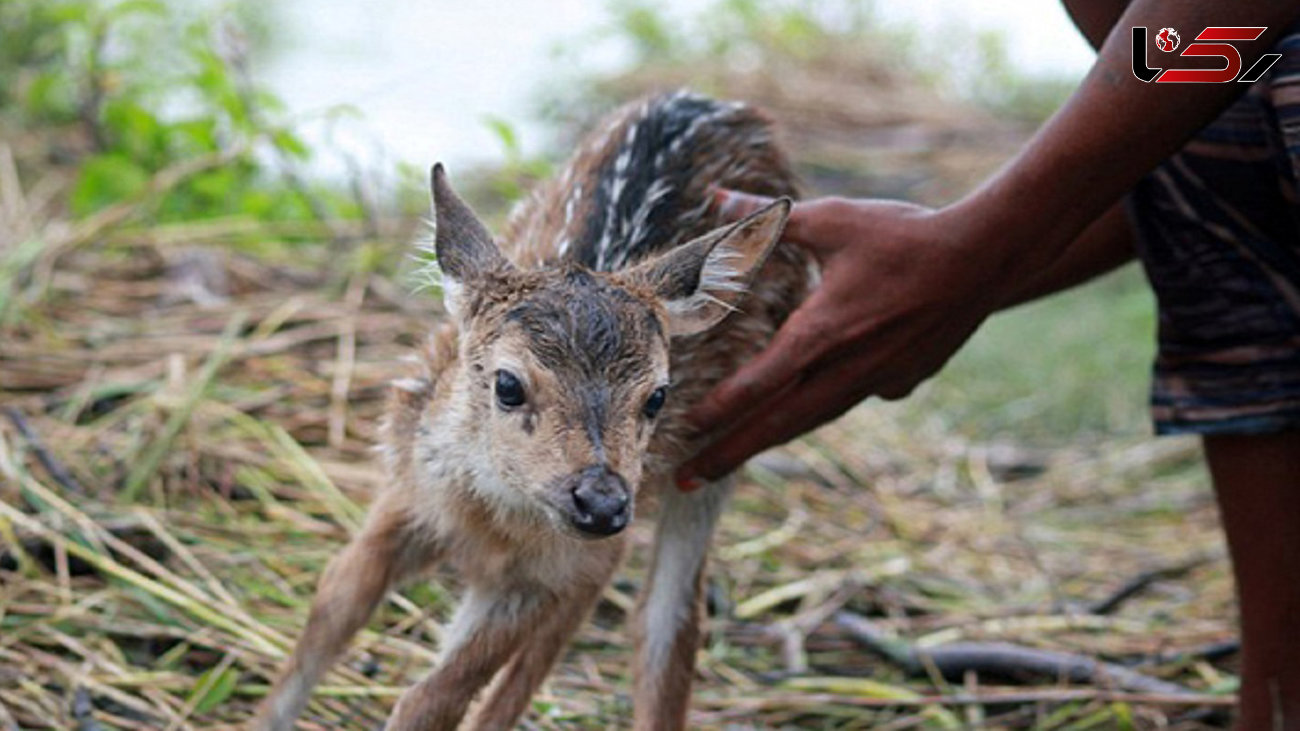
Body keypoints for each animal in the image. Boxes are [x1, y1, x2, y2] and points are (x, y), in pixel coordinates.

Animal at [253, 91, 811, 728]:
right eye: (508, 384)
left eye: (657, 396)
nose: (600, 500)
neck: (491, 514)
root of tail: (728, 105)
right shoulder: (407, 490)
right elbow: (330, 609)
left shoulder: (538, 572)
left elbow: (431, 699)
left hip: (719, 451)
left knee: (664, 619)